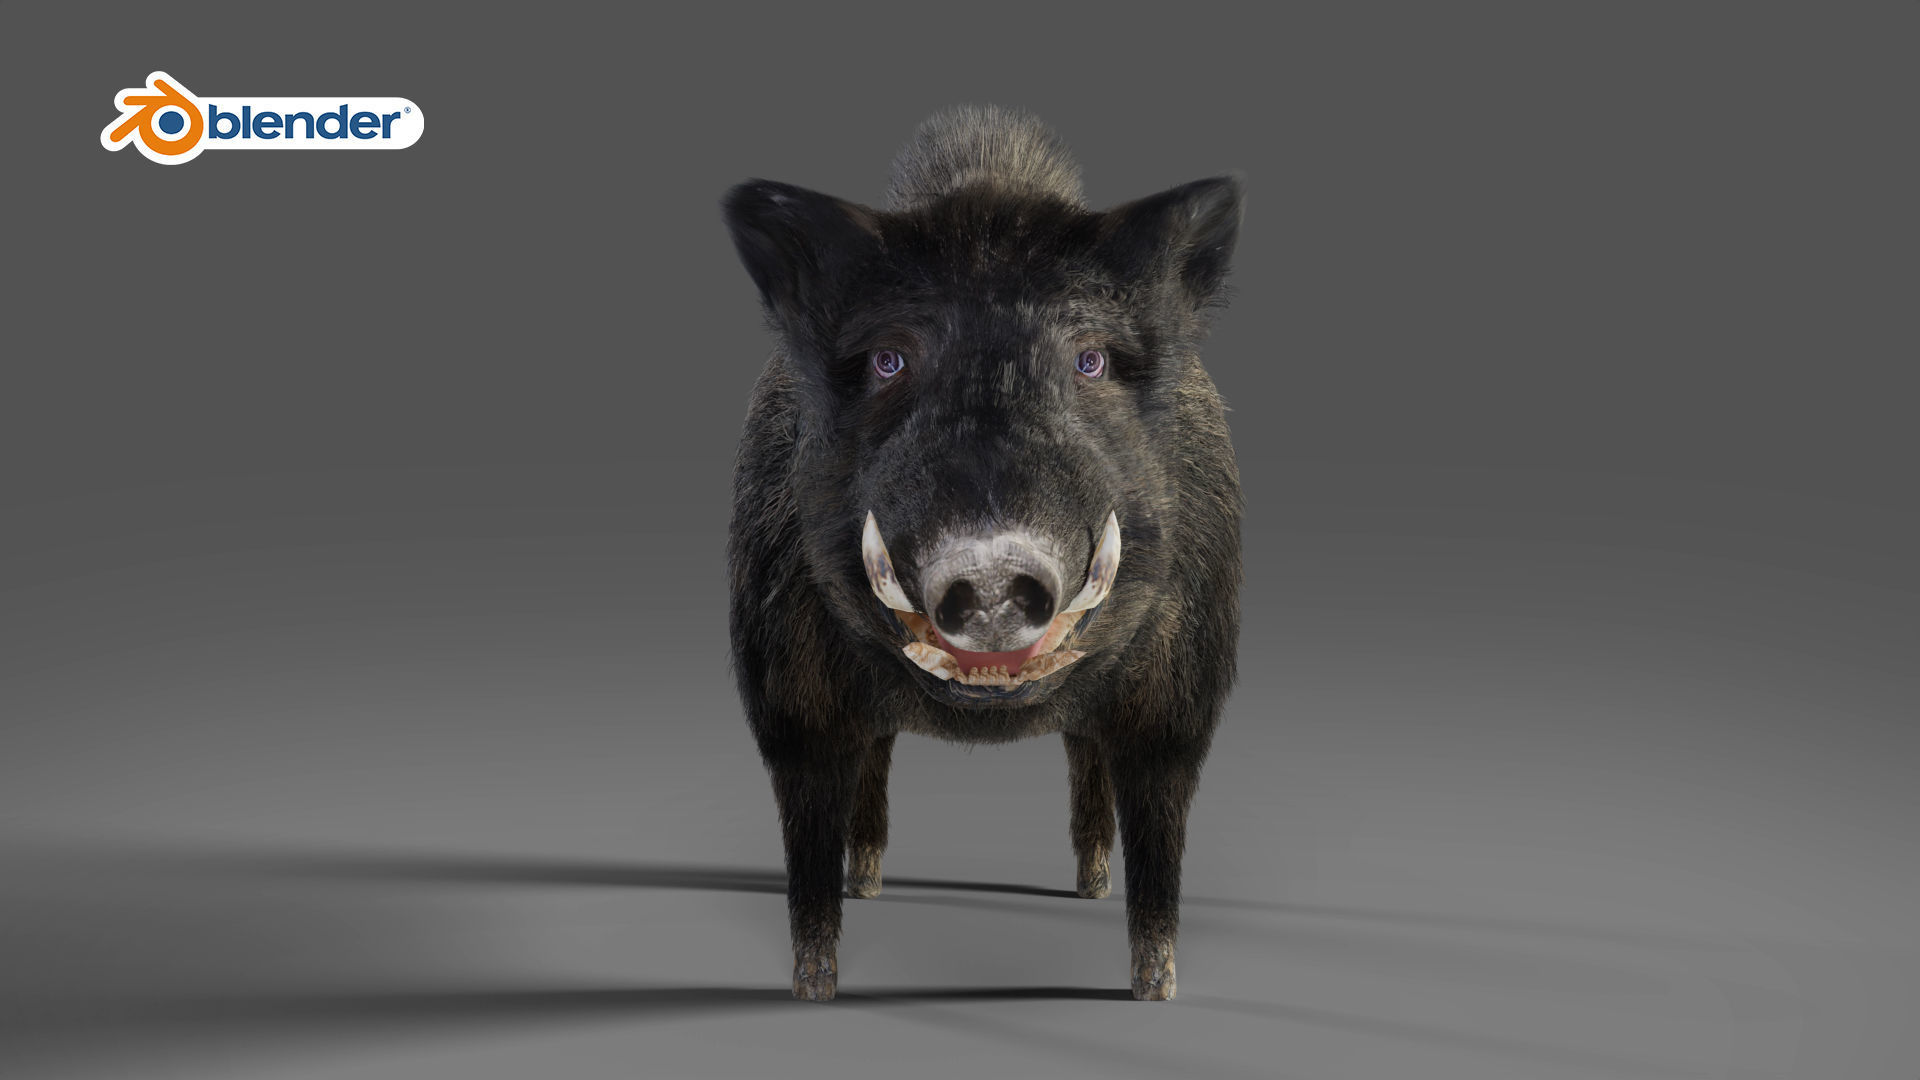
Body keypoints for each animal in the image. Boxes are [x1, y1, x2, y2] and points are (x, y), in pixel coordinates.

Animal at [723, 105, 1243, 1002]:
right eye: (888, 359)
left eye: (1090, 359)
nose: (994, 564)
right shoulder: (788, 694)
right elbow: (808, 844)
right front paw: (814, 990)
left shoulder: (1182, 699)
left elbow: (1160, 836)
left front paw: (1156, 991)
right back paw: (870, 883)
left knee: (1083, 756)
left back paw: (1090, 887)